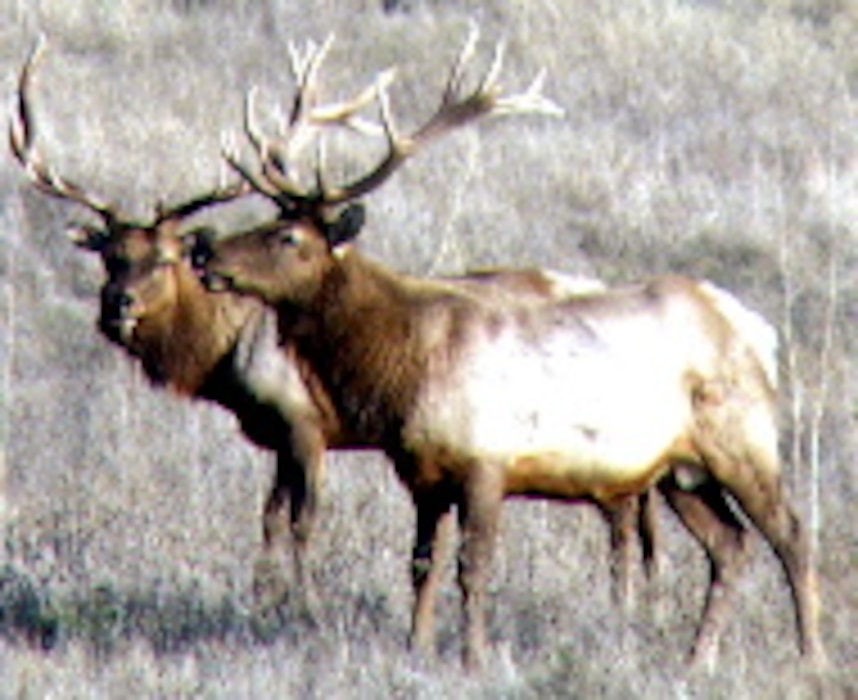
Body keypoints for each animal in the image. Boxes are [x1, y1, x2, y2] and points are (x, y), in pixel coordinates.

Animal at [8, 34, 656, 612]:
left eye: (165, 258)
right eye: (111, 256)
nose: (117, 306)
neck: (224, 357)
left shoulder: (305, 421)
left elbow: (303, 520)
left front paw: (306, 604)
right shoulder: (276, 435)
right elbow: (269, 518)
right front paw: (262, 597)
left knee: (625, 512)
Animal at [194, 34, 824, 672]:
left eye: (288, 238)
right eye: (269, 219)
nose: (206, 255)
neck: (405, 367)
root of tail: (760, 330)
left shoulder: (486, 461)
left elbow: (473, 569)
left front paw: (473, 657)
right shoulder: (424, 474)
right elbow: (421, 565)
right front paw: (417, 647)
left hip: (743, 438)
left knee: (791, 534)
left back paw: (811, 654)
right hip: (680, 470)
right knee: (731, 543)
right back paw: (698, 657)